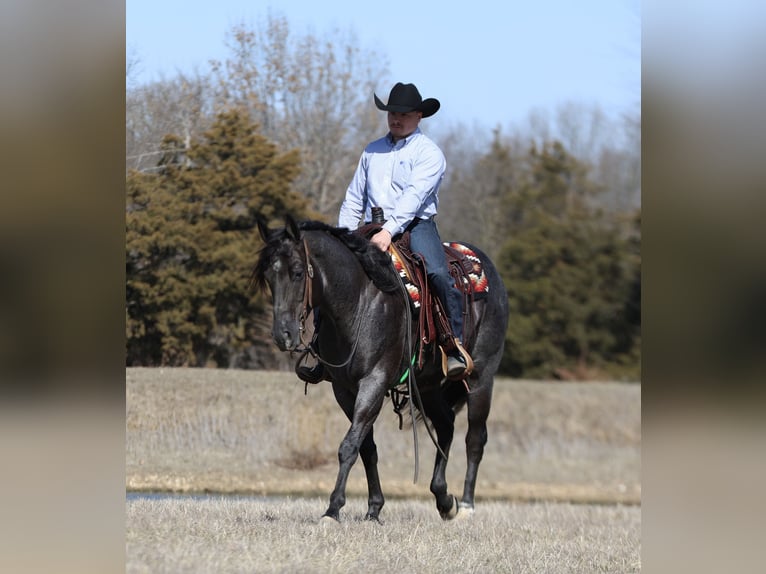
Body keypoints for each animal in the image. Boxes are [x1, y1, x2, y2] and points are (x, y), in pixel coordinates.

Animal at [254, 216, 510, 528]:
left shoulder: (374, 381)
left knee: (474, 439)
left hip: (481, 377)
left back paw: (466, 506)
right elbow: (366, 448)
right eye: (268, 275)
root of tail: (488, 270)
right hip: (428, 386)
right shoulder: (344, 389)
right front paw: (374, 509)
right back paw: (444, 500)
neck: (359, 302)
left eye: (298, 272)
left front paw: (333, 510)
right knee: (446, 425)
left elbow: (349, 445)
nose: (284, 335)